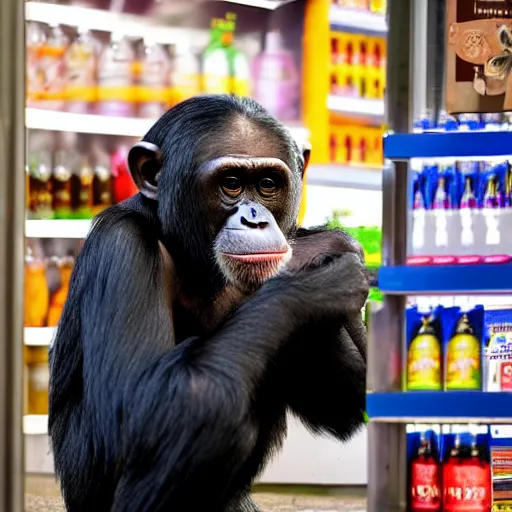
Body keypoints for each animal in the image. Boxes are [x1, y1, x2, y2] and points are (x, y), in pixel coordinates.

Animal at [48, 95, 368, 512]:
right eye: (231, 184)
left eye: (267, 184)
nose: (255, 219)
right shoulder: (122, 246)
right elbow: (135, 408)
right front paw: (314, 283)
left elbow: (344, 402)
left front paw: (324, 248)